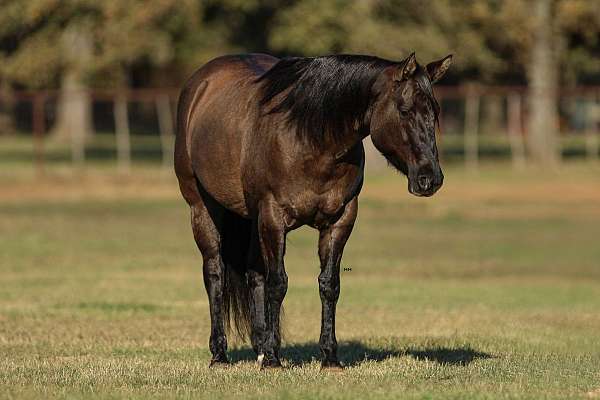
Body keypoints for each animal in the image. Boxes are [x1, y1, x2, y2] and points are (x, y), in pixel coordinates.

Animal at [173, 52, 450, 368]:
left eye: (434, 113)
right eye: (404, 110)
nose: (430, 178)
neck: (310, 139)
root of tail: (200, 83)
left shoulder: (340, 220)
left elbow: (329, 285)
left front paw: (329, 357)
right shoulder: (273, 217)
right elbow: (278, 284)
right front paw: (273, 360)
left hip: (253, 219)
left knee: (254, 274)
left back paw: (259, 346)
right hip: (203, 210)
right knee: (215, 275)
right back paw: (220, 354)